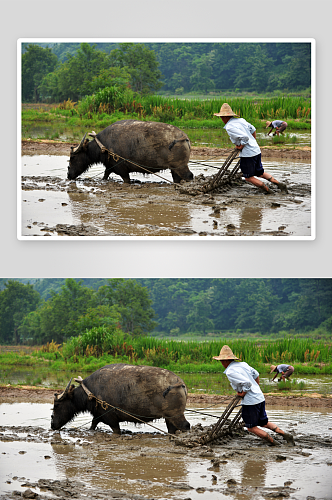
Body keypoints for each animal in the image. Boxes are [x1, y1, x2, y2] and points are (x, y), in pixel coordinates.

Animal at [50, 364, 189, 434]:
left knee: (186, 426)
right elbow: (92, 425)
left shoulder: (112, 419)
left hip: (176, 415)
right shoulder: (98, 415)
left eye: (57, 405)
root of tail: (179, 382)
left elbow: (116, 430)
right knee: (172, 429)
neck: (92, 392)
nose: (52, 425)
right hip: (169, 418)